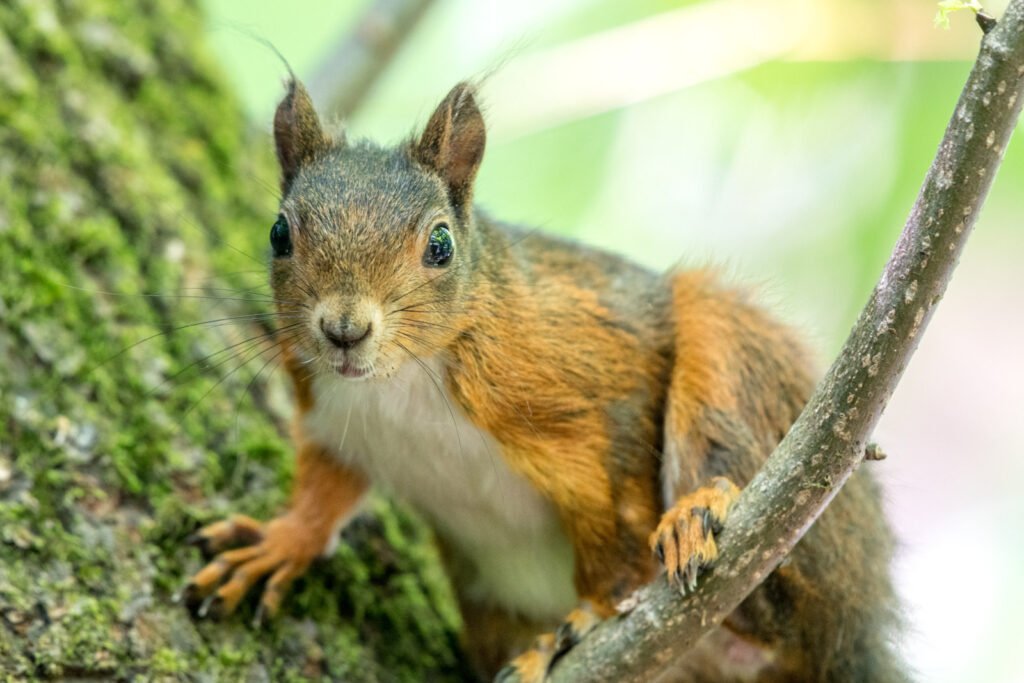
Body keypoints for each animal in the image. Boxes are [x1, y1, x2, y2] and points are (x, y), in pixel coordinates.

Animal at [181, 80, 906, 682]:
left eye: (440, 245)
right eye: (279, 233)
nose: (344, 330)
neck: (400, 382)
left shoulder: (594, 391)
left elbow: (616, 525)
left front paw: (591, 612)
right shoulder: (335, 421)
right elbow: (325, 490)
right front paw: (280, 541)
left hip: (741, 368)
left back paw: (697, 513)